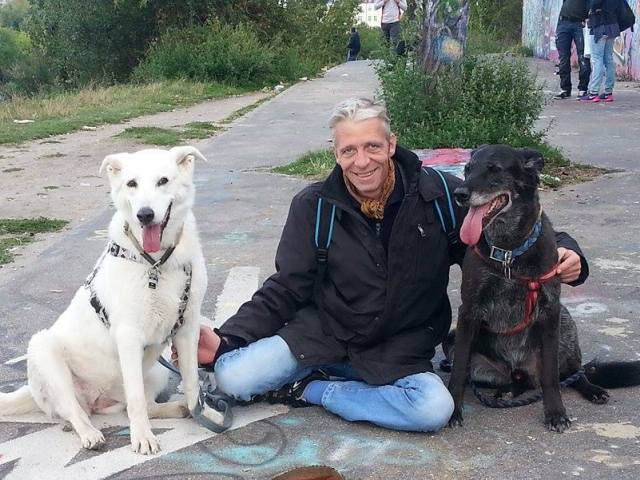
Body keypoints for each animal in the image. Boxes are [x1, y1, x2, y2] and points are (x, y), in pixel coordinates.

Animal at [0, 146, 215, 454]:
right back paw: (87, 433)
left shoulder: (187, 329)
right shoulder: (128, 336)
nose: (145, 215)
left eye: (163, 181)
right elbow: (136, 402)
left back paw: (178, 409)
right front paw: (142, 438)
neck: (157, 263)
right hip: (44, 348)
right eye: (131, 183)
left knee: (142, 405)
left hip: (155, 371)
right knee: (76, 410)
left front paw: (200, 412)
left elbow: (192, 383)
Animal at [448, 144, 640, 434]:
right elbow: (458, 368)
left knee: (572, 374)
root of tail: (520, 368)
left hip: (565, 324)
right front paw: (454, 411)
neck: (509, 252)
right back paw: (508, 391)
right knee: (519, 380)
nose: (459, 194)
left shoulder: (550, 311)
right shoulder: (468, 312)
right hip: (473, 357)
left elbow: (551, 376)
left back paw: (592, 389)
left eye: (494, 169)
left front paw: (556, 413)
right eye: (468, 169)